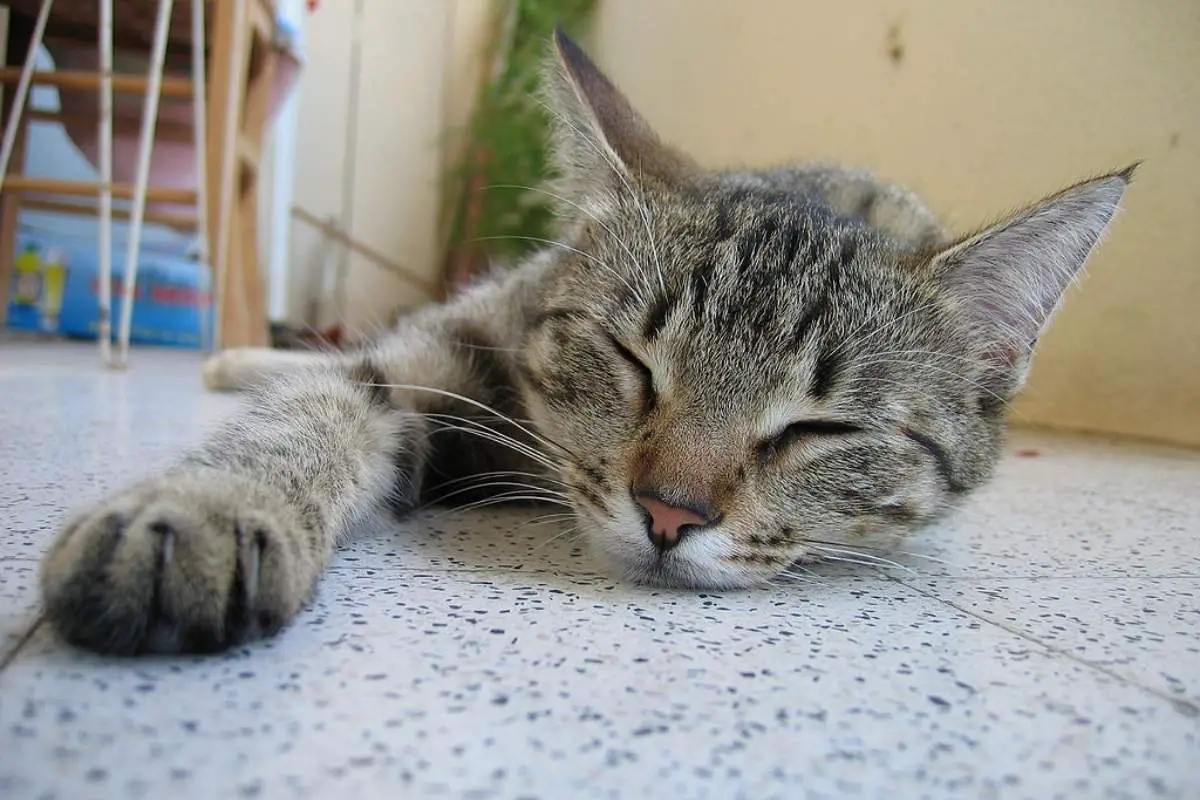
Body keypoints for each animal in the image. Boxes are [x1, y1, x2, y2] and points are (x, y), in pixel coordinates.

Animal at [37, 31, 1132, 657]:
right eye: (635, 361)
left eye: (819, 428)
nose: (670, 511)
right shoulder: (445, 353)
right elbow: (328, 400)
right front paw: (208, 505)